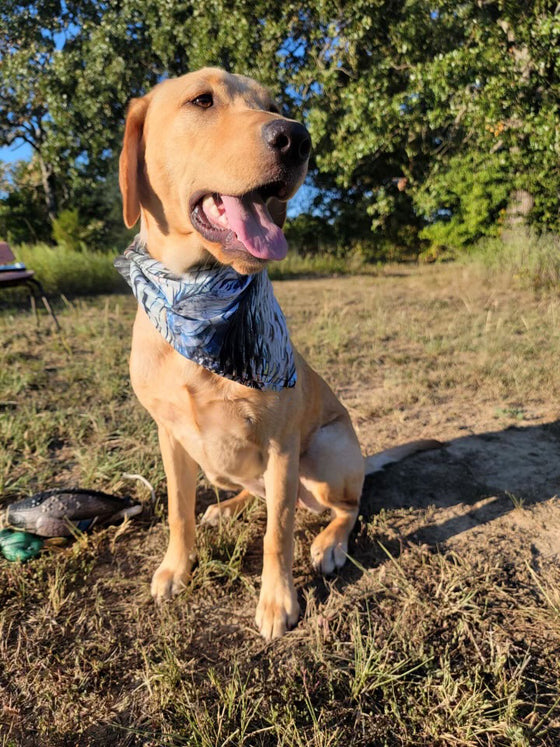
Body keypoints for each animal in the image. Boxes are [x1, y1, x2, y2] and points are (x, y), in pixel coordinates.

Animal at [116, 68, 436, 636]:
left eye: (273, 102)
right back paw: (228, 506)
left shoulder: (282, 446)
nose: (297, 138)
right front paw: (177, 568)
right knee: (257, 493)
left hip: (325, 452)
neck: (197, 298)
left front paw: (277, 601)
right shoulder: (170, 437)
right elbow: (177, 510)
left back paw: (329, 543)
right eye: (202, 100)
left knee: (348, 506)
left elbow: (278, 532)